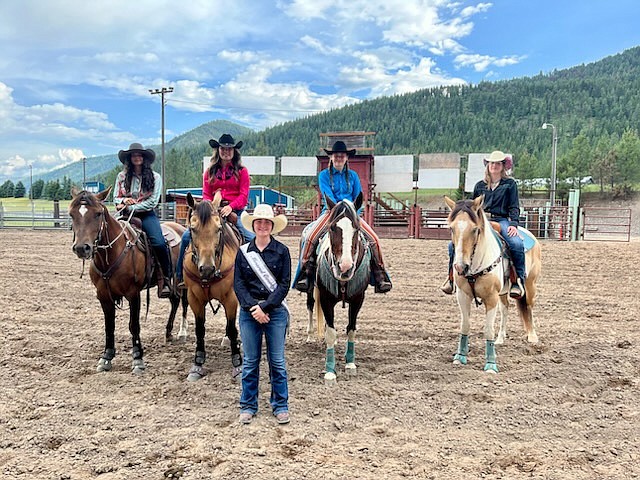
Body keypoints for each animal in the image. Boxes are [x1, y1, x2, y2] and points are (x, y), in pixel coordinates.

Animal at [70, 188, 190, 376]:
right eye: (72, 214)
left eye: (98, 214)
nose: (82, 248)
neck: (113, 254)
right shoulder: (103, 296)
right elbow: (109, 326)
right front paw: (106, 357)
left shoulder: (133, 294)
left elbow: (134, 325)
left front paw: (138, 360)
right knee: (175, 300)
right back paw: (168, 332)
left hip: (181, 278)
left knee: (183, 301)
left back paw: (182, 332)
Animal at [182, 189, 242, 380]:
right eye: (193, 228)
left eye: (219, 229)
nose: (207, 268)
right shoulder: (194, 298)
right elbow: (200, 329)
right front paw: (198, 363)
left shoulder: (231, 297)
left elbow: (232, 328)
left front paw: (238, 364)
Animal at [304, 193, 370, 384]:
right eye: (333, 227)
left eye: (356, 228)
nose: (345, 267)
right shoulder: (326, 299)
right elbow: (331, 333)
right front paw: (330, 371)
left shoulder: (358, 299)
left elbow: (351, 329)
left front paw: (350, 364)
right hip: (310, 290)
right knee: (310, 306)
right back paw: (310, 335)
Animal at [442, 196, 544, 376]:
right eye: (451, 229)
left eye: (475, 230)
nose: (460, 267)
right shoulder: (463, 295)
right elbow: (465, 326)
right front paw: (460, 357)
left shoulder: (491, 298)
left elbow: (488, 329)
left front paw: (490, 364)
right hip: (503, 293)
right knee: (505, 310)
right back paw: (500, 338)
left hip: (530, 285)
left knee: (529, 307)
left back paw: (532, 337)